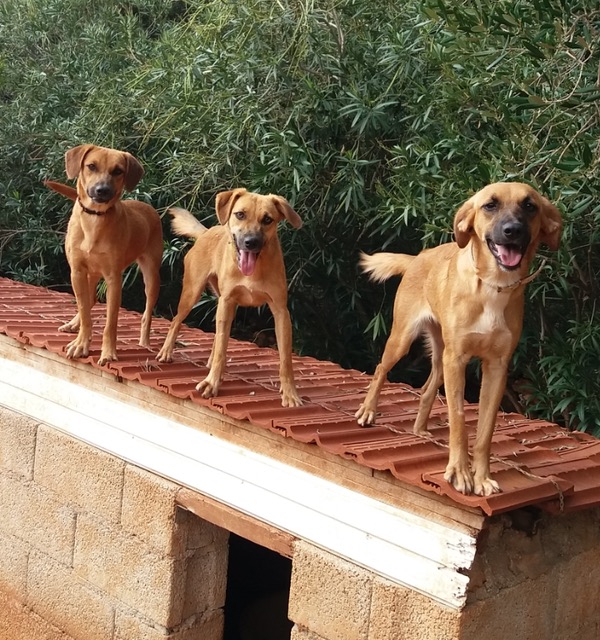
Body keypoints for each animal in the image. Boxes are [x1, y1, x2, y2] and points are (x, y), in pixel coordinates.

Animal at [45, 144, 162, 364]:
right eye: (91, 166)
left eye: (118, 171)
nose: (102, 190)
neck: (95, 219)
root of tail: (148, 207)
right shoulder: (77, 272)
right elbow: (85, 312)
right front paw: (81, 343)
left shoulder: (113, 279)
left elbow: (111, 321)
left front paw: (108, 352)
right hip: (90, 274)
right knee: (88, 302)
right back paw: (73, 324)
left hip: (151, 275)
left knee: (147, 313)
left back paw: (144, 343)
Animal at [157, 188, 302, 408]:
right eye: (240, 214)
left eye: (267, 219)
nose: (251, 242)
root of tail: (206, 232)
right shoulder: (226, 302)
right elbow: (221, 348)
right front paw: (212, 383)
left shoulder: (280, 312)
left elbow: (285, 358)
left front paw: (290, 393)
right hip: (193, 293)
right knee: (176, 321)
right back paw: (166, 352)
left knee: (217, 334)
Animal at [356, 182, 564, 498]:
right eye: (490, 205)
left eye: (530, 206)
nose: (512, 231)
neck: (493, 287)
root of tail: (419, 256)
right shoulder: (458, 360)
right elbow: (459, 421)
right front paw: (459, 473)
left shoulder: (496, 368)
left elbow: (485, 432)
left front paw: (482, 477)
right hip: (404, 340)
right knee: (381, 369)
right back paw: (368, 411)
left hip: (441, 356)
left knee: (428, 387)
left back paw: (419, 429)